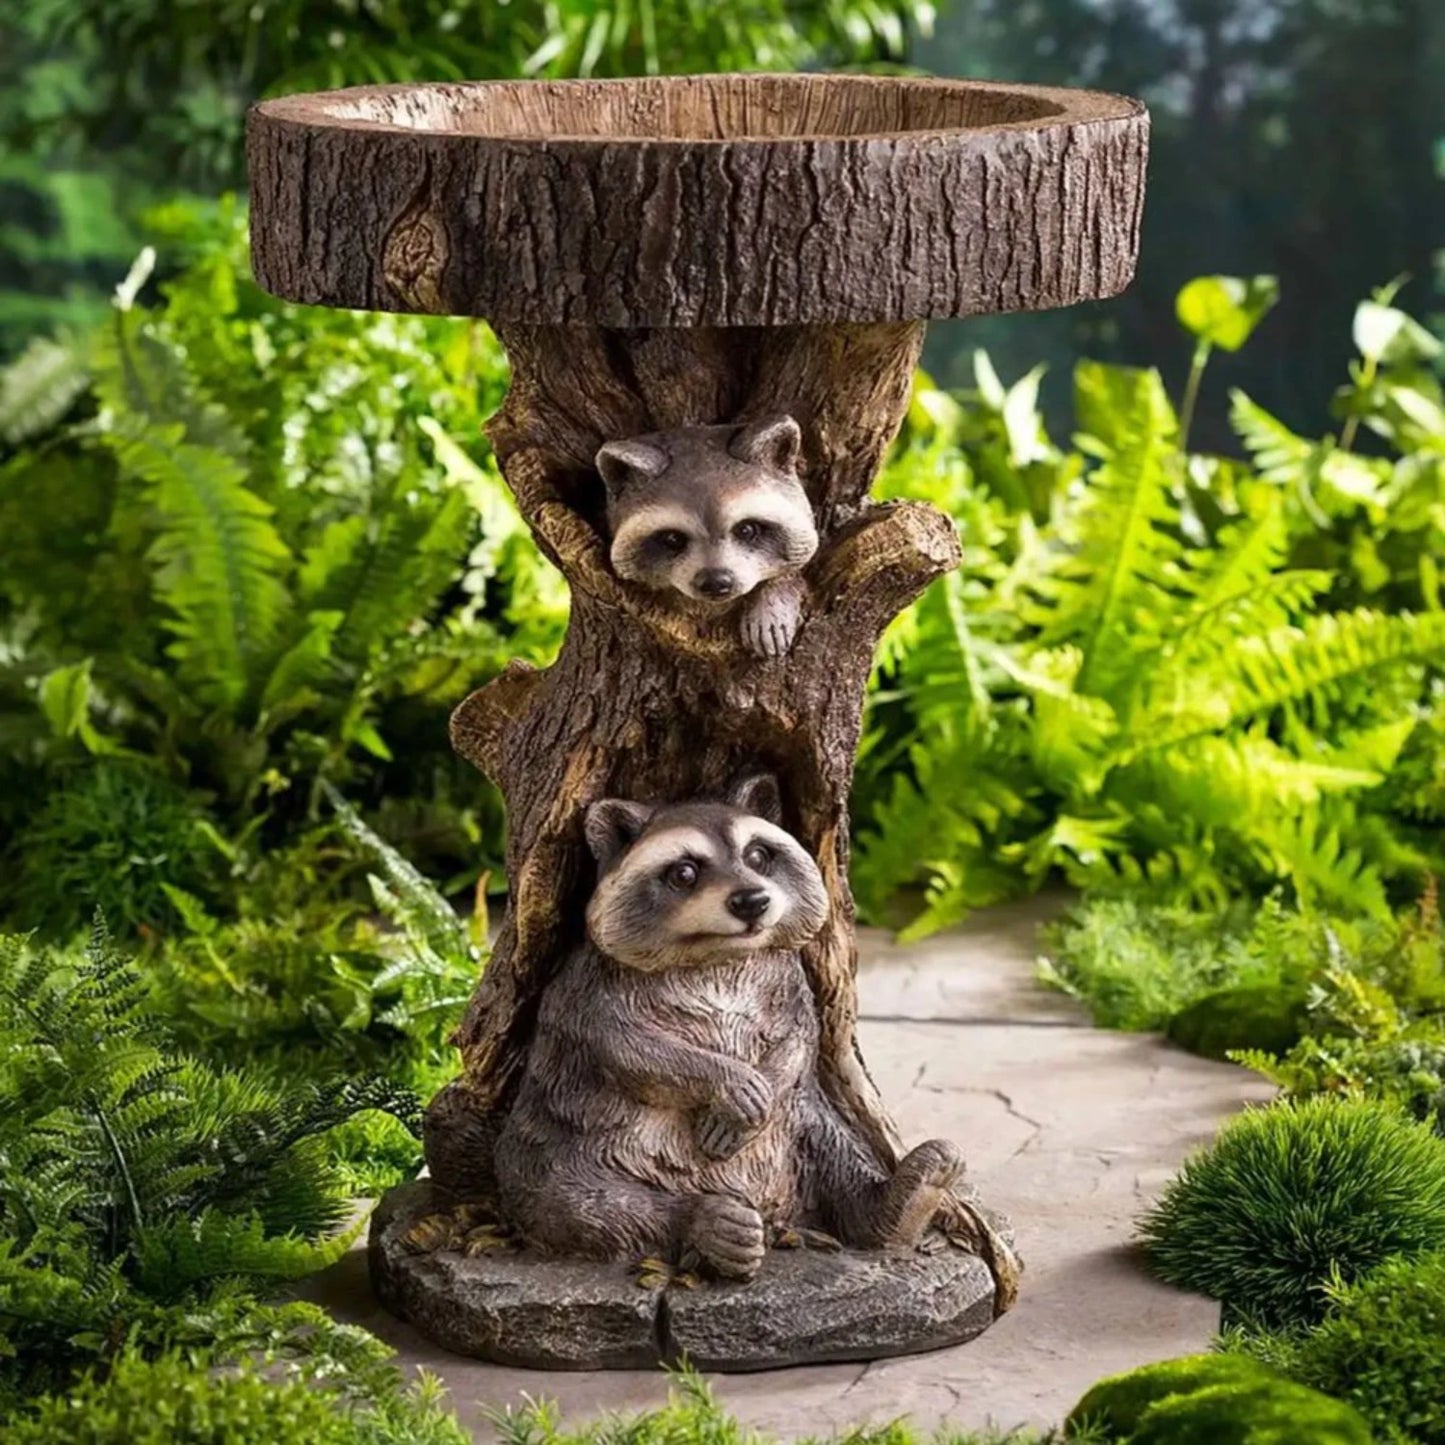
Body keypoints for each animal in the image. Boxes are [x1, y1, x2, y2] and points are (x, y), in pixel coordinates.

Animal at [494, 774, 963, 1281]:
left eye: (758, 856)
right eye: (684, 873)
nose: (752, 900)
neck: (717, 957)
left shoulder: (789, 978)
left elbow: (800, 1036)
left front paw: (764, 1083)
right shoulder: (587, 986)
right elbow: (628, 1048)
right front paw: (728, 1082)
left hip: (800, 1127)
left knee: (836, 1153)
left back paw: (900, 1199)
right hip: (552, 1144)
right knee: (571, 1200)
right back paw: (708, 1225)